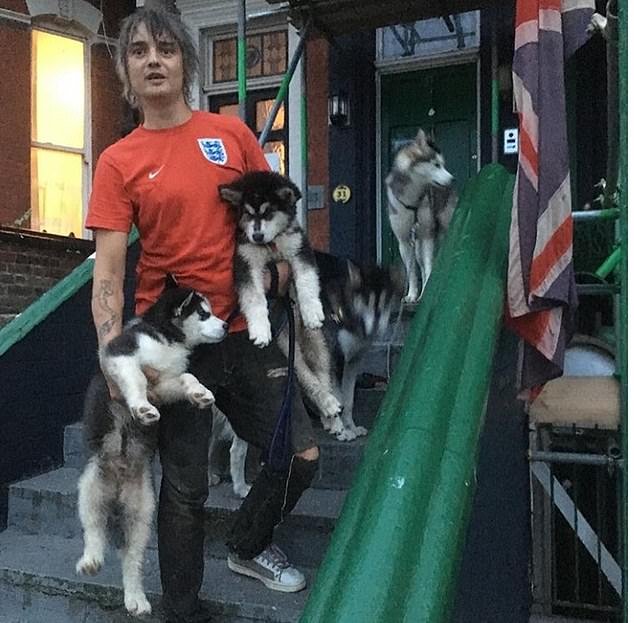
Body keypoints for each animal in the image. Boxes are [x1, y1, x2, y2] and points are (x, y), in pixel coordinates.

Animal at [75, 286, 226, 616]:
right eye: (204, 314)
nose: (225, 326)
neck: (167, 338)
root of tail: (118, 486)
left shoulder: (166, 383)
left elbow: (185, 377)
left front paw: (199, 393)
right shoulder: (121, 355)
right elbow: (138, 379)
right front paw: (142, 408)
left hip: (142, 513)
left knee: (132, 559)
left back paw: (137, 599)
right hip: (90, 488)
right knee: (94, 530)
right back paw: (91, 560)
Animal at [218, 171, 346, 424]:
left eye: (268, 213)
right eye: (248, 213)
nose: (257, 235)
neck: (270, 245)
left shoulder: (299, 249)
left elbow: (306, 280)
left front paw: (312, 309)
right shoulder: (245, 262)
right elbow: (254, 298)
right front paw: (260, 329)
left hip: (315, 341)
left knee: (323, 373)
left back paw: (331, 411)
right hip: (287, 349)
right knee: (305, 376)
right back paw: (325, 406)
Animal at [382, 129, 456, 302]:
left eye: (443, 164)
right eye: (436, 165)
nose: (452, 179)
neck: (411, 200)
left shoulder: (427, 235)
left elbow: (429, 265)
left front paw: (426, 291)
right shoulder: (404, 240)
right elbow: (411, 272)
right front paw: (412, 294)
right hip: (416, 245)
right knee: (419, 263)